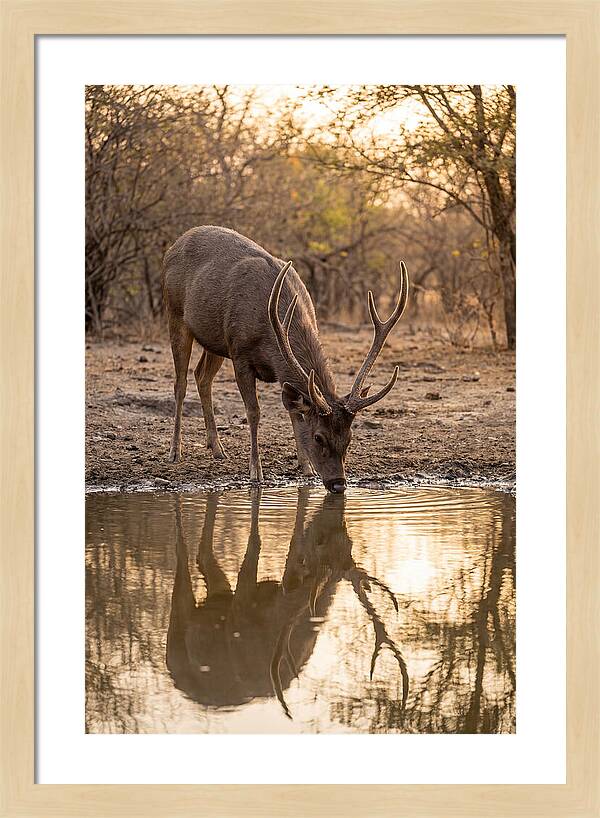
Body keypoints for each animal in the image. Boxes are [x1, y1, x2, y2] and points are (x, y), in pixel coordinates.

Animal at [162, 226, 409, 493]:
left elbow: (294, 412)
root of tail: (173, 246)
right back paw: (175, 451)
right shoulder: (240, 354)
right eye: (319, 437)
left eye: (349, 437)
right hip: (175, 314)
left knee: (202, 376)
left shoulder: (277, 369)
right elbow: (254, 411)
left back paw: (217, 448)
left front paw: (306, 467)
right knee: (180, 383)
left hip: (214, 340)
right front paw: (256, 472)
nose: (338, 484)